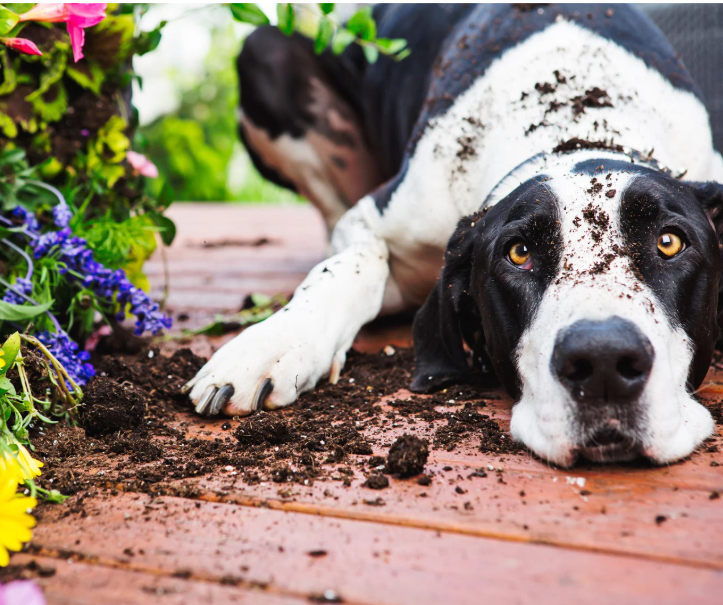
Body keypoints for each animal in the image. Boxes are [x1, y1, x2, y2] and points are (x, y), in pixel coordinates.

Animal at [185, 4, 723, 464]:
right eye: (519, 253)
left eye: (669, 242)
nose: (604, 360)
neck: (577, 122)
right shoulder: (375, 219)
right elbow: (348, 267)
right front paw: (271, 344)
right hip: (264, 50)